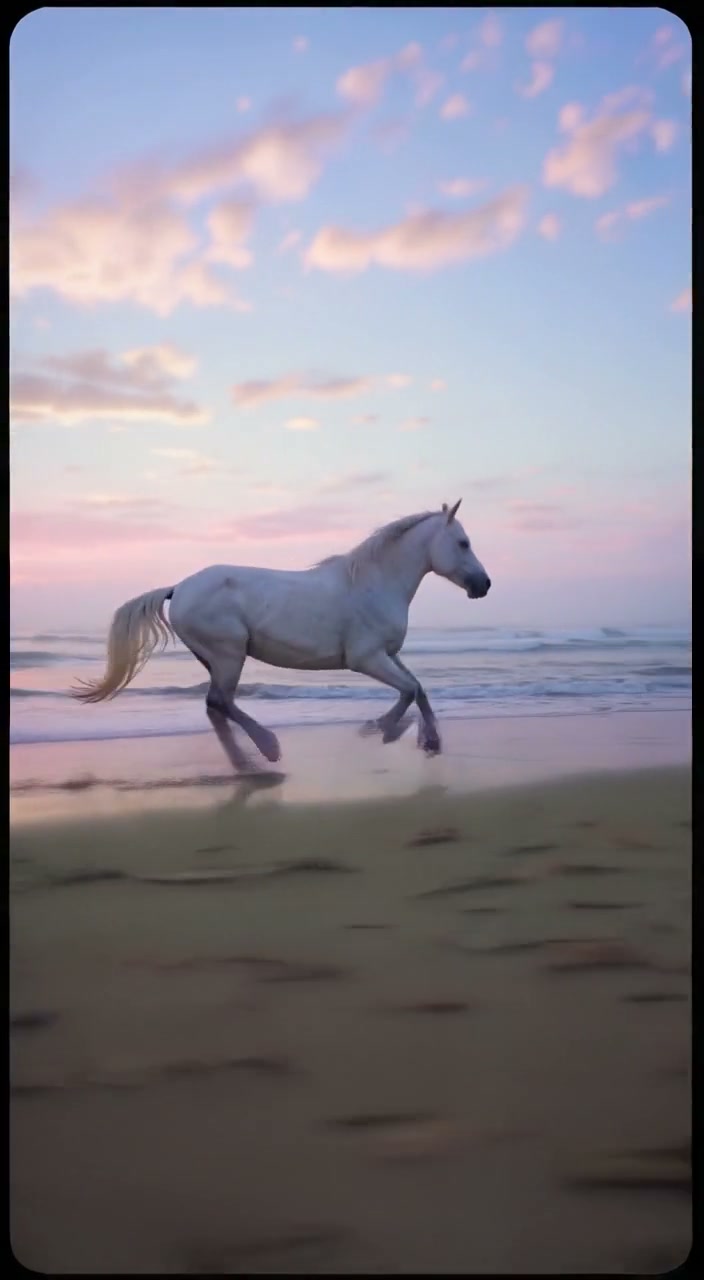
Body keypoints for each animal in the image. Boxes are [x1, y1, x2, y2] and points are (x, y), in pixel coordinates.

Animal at [72, 500, 491, 769]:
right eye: (463, 543)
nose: (483, 585)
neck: (372, 584)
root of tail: (178, 588)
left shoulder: (389, 654)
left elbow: (418, 688)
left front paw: (430, 742)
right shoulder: (366, 658)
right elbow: (408, 690)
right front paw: (382, 730)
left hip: (215, 658)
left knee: (215, 706)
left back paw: (247, 764)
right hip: (229, 654)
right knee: (220, 702)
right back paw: (268, 749)